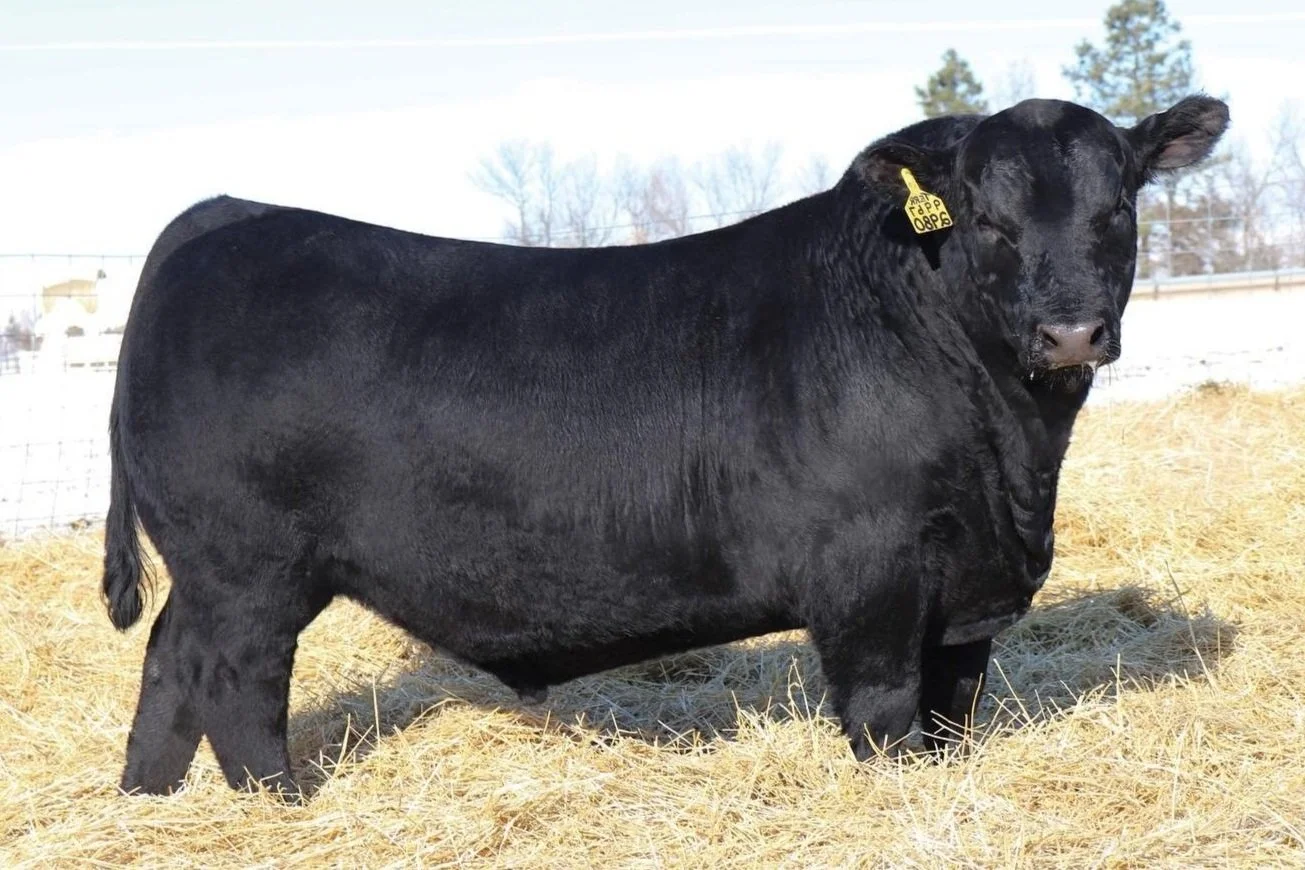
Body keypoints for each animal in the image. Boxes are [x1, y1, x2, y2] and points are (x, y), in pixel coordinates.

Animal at [102, 94, 1228, 798]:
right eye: (988, 218)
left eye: (1117, 207)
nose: (1070, 330)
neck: (1012, 458)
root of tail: (223, 215)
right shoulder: (868, 580)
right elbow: (884, 720)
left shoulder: (964, 593)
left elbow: (951, 719)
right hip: (249, 570)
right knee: (237, 688)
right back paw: (280, 808)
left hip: (215, 573)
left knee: (167, 662)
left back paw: (147, 805)